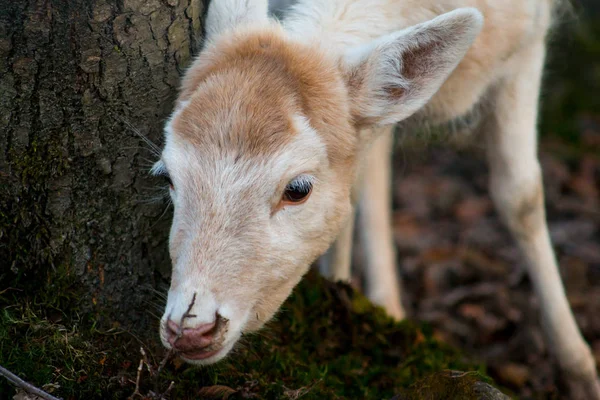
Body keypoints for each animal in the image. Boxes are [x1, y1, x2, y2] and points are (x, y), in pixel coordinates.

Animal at [154, 0, 600, 396]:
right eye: (168, 175)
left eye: (298, 189)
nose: (190, 329)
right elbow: (362, 189)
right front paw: (362, 300)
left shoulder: (529, 41)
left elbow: (520, 196)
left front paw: (580, 373)